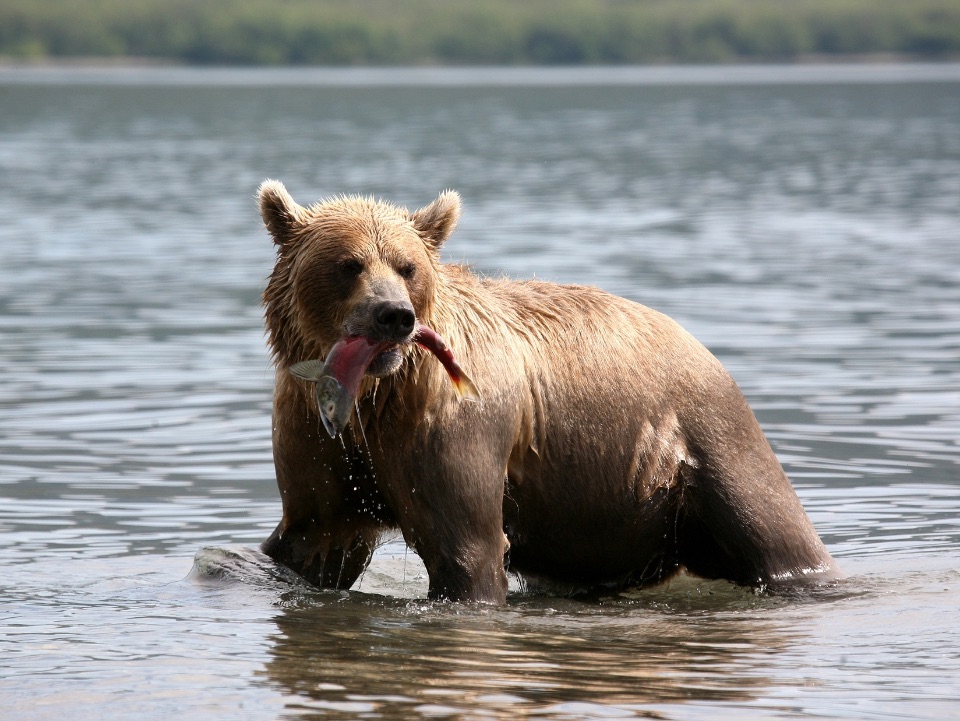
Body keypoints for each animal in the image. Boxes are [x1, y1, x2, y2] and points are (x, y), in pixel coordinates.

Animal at [255, 180, 840, 600]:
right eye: (348, 264)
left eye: (407, 266)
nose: (393, 315)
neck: (377, 398)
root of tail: (699, 342)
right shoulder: (319, 434)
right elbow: (314, 536)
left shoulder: (451, 428)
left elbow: (465, 547)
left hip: (709, 436)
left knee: (774, 531)